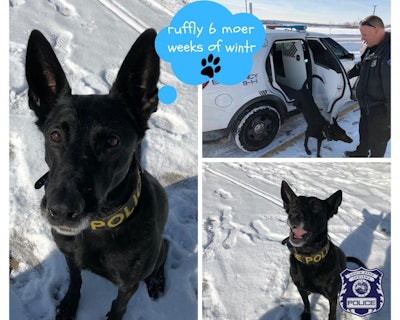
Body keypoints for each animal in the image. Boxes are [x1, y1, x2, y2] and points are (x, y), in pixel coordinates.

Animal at [25, 28, 169, 318]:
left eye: (112, 141)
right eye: (55, 135)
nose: (61, 211)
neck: (99, 226)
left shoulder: (128, 285)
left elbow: (118, 307)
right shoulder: (70, 256)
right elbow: (76, 280)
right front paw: (69, 305)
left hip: (157, 252)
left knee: (166, 248)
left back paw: (157, 280)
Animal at [282, 181, 366, 318]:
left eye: (316, 207)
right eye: (293, 204)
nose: (294, 215)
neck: (309, 257)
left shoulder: (332, 297)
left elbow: (332, 313)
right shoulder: (301, 288)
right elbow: (306, 303)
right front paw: (306, 314)